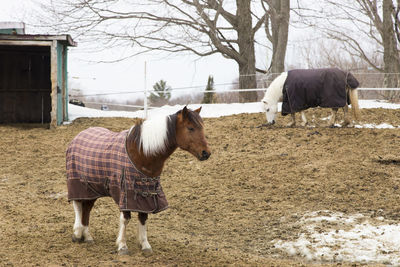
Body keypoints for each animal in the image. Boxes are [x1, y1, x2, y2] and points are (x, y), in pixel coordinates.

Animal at [66, 107, 211, 255]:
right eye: (190, 128)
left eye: (202, 127)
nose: (206, 153)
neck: (142, 152)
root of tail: (79, 136)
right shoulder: (126, 193)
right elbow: (125, 219)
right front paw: (122, 246)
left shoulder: (146, 194)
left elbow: (143, 218)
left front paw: (145, 245)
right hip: (78, 184)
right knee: (78, 206)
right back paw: (77, 233)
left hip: (92, 188)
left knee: (87, 208)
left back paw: (87, 236)